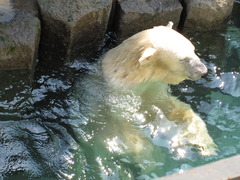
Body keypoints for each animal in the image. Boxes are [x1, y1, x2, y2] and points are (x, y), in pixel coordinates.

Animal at [100, 22, 217, 156]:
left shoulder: (155, 85)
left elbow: (173, 107)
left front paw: (206, 144)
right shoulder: (118, 95)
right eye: (183, 59)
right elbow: (124, 125)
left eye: (193, 50)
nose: (203, 71)